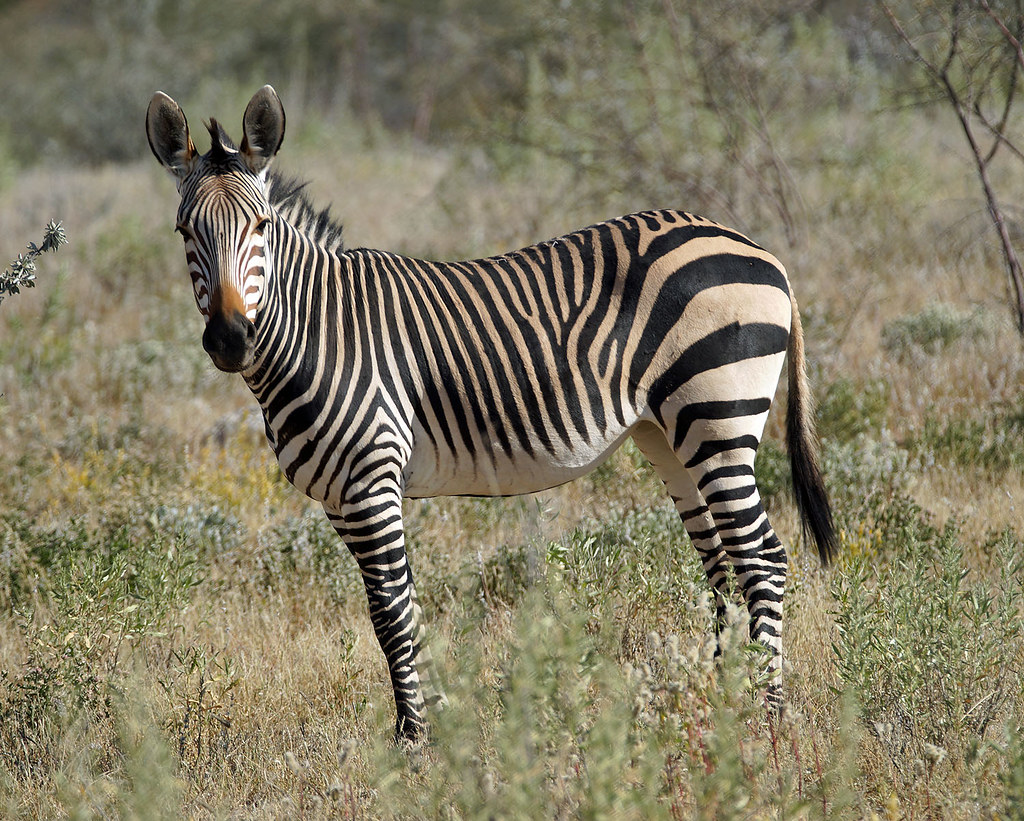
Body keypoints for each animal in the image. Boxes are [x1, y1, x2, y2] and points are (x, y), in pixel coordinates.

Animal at [146, 85, 837, 741]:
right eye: (184, 234)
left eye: (260, 227)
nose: (230, 339)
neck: (319, 330)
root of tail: (755, 246)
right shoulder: (342, 497)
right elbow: (390, 608)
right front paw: (423, 727)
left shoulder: (371, 479)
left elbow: (391, 610)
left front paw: (414, 741)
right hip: (669, 434)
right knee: (722, 566)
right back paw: (718, 703)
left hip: (718, 413)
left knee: (762, 559)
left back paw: (766, 716)